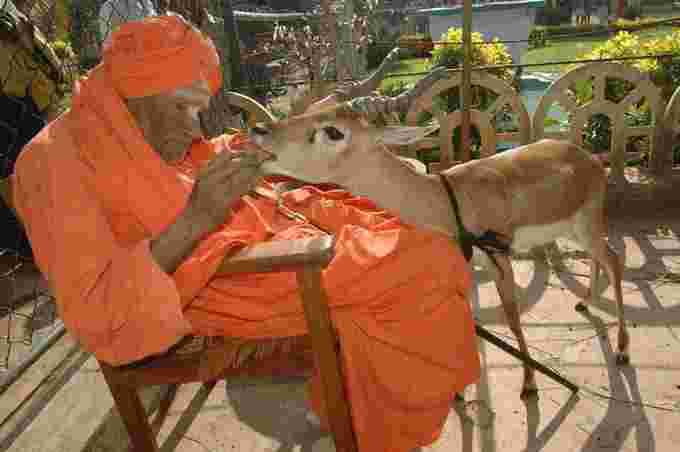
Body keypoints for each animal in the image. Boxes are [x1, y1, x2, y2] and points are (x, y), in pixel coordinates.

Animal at [248, 47, 628, 398]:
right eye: (312, 110)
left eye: (334, 131)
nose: (260, 129)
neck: (448, 198)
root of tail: (589, 157)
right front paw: (460, 390)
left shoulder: (499, 257)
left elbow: (512, 318)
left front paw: (529, 385)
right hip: (574, 230)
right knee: (600, 259)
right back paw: (586, 303)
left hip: (587, 224)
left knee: (613, 259)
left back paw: (622, 350)